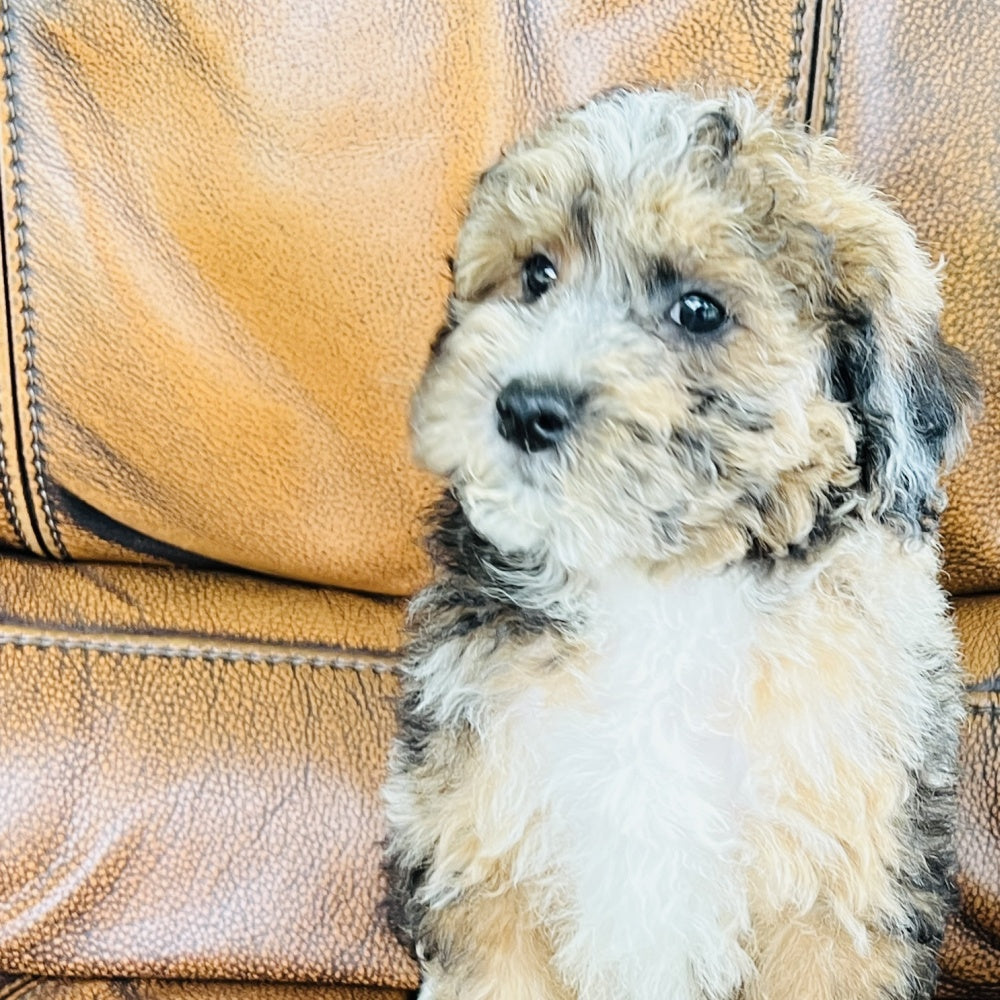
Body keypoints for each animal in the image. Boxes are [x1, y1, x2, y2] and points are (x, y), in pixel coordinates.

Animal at [380, 88, 976, 1000]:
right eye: (536, 275)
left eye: (699, 311)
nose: (524, 406)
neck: (661, 585)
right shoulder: (484, 845)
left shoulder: (838, 882)